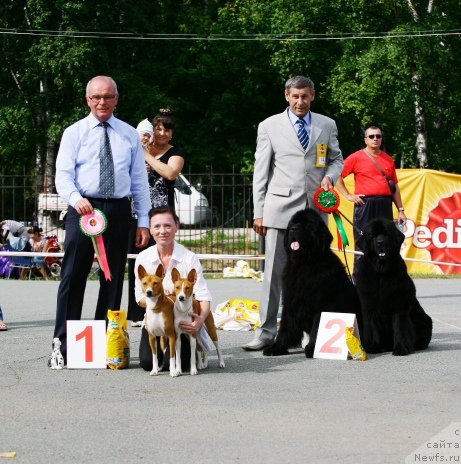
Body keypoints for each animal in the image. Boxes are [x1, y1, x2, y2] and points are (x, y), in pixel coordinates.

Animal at [264, 208, 362, 358]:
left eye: (307, 225)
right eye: (293, 223)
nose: (293, 229)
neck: (304, 264)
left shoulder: (322, 304)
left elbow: (317, 326)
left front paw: (313, 348)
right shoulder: (290, 301)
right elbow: (286, 326)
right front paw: (277, 347)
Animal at [354, 218, 434, 356]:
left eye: (386, 234)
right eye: (372, 235)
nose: (380, 242)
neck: (381, 273)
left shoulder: (399, 304)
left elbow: (400, 328)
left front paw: (401, 349)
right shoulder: (369, 305)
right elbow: (372, 326)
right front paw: (372, 348)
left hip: (425, 321)